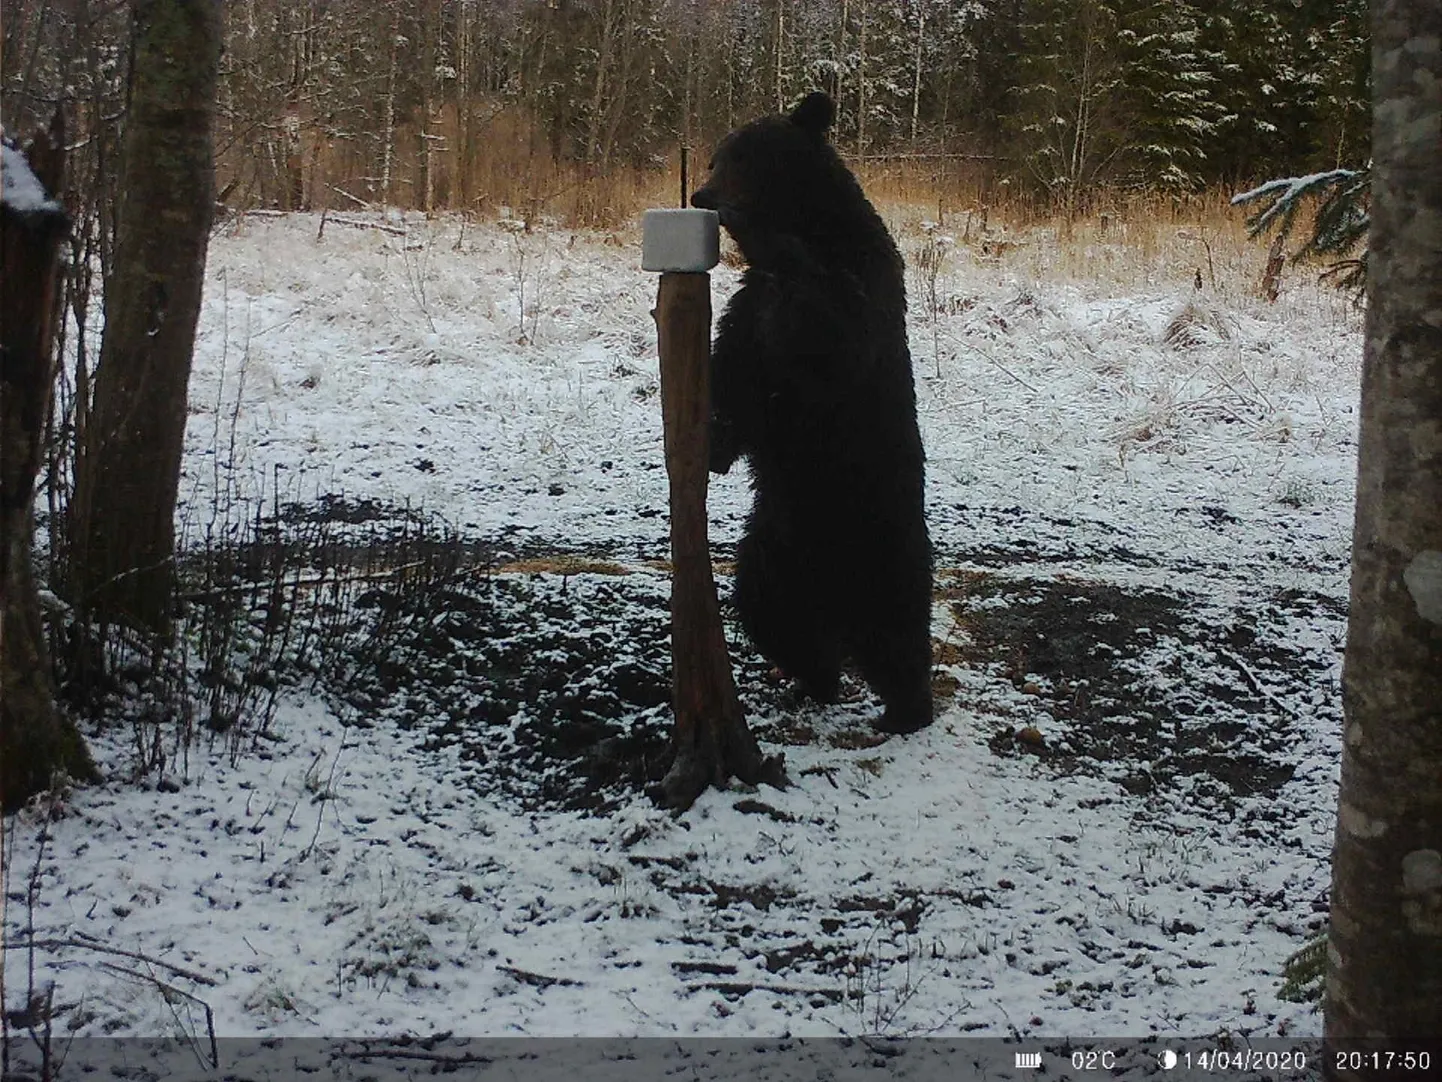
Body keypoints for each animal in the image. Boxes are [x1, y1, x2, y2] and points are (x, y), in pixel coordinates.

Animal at [689, 93, 934, 738]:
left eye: (743, 157)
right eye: (717, 156)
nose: (702, 194)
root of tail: (831, 589)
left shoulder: (856, 285)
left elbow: (832, 333)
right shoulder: (751, 313)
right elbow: (738, 377)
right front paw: (715, 445)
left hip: (879, 539)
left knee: (898, 634)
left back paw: (906, 711)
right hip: (773, 555)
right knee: (774, 617)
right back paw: (810, 680)